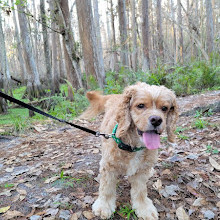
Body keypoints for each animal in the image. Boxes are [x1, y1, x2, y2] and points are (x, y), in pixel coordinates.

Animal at [80, 83, 178, 220]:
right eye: (140, 105)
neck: (133, 146)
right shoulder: (109, 166)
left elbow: (140, 191)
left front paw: (144, 208)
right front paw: (104, 206)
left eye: (164, 108)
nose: (157, 120)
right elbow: (107, 188)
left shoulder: (141, 170)